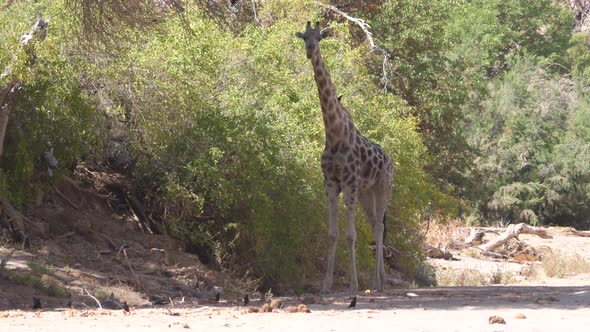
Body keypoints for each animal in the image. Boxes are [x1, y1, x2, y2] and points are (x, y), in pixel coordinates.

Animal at [296, 21, 398, 294]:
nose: (310, 49)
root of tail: (390, 160)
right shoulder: (331, 182)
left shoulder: (349, 182)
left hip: (382, 187)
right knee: (375, 225)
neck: (334, 134)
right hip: (366, 193)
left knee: (380, 225)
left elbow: (351, 235)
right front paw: (326, 285)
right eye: (304, 37)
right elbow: (332, 233)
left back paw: (378, 283)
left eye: (319, 37)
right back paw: (377, 282)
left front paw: (352, 284)